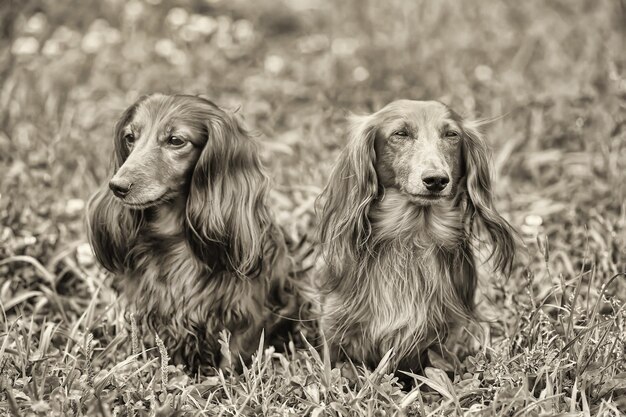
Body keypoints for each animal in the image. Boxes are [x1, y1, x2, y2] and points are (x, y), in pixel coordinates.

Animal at [88, 94, 302, 370]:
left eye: (176, 140)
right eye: (130, 137)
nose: (117, 186)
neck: (173, 237)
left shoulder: (248, 316)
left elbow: (230, 360)